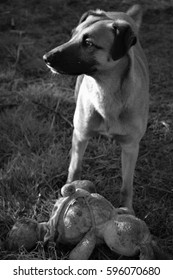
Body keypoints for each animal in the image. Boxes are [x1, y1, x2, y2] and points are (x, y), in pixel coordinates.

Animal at [43, 4, 149, 212]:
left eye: (89, 43)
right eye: (72, 35)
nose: (46, 58)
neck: (107, 93)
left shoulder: (131, 147)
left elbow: (127, 185)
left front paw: (127, 210)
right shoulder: (80, 135)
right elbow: (74, 168)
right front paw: (68, 193)